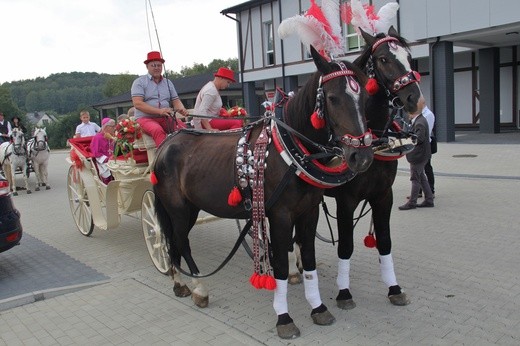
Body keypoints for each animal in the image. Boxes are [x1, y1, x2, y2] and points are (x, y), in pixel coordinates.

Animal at [150, 46, 374, 338]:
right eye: (333, 98)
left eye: (365, 97)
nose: (362, 156)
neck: (289, 151)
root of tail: (167, 142)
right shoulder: (280, 215)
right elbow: (280, 266)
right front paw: (284, 318)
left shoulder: (308, 212)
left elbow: (309, 258)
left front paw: (318, 308)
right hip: (176, 208)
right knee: (178, 241)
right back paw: (198, 287)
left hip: (191, 208)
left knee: (175, 242)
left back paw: (180, 284)